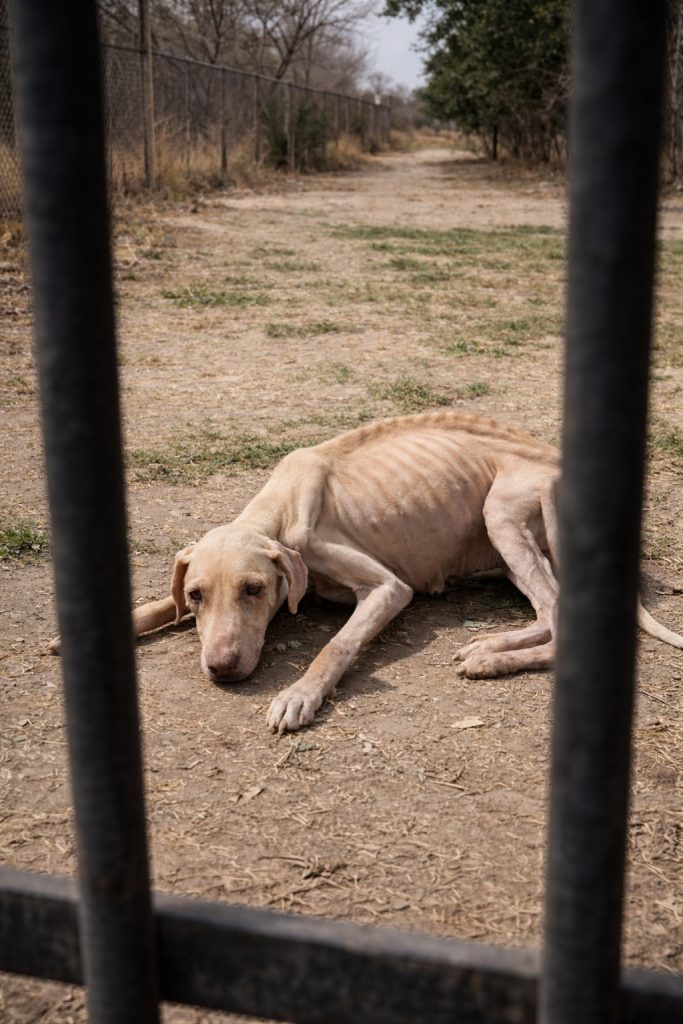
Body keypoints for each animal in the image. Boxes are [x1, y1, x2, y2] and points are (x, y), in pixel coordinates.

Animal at [49, 411, 683, 732]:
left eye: (254, 590)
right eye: (199, 595)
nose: (222, 670)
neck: (277, 508)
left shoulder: (387, 589)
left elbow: (335, 647)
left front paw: (298, 695)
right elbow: (160, 603)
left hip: (502, 512)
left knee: (556, 614)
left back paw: (490, 657)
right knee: (548, 609)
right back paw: (489, 644)